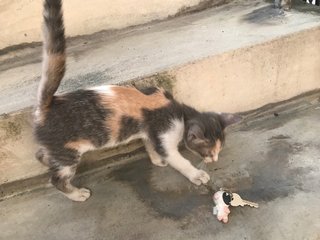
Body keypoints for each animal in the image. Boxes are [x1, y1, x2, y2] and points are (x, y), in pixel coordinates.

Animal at [34, 0, 240, 202]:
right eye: (209, 152)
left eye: (218, 150)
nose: (214, 160)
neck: (179, 111)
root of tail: (48, 105)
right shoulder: (166, 131)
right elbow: (178, 159)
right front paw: (196, 174)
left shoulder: (150, 132)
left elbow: (150, 145)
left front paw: (157, 160)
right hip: (67, 154)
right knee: (57, 178)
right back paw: (76, 194)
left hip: (58, 149)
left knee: (41, 155)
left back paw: (45, 160)